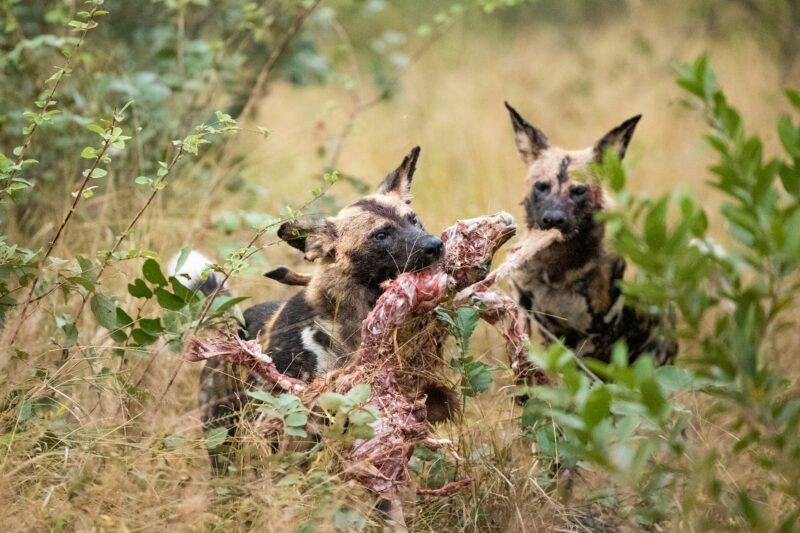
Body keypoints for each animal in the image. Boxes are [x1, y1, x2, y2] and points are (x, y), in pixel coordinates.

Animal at [504, 103, 680, 366]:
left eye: (579, 191)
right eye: (541, 187)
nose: (553, 220)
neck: (557, 269)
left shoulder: (596, 337)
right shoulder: (521, 307)